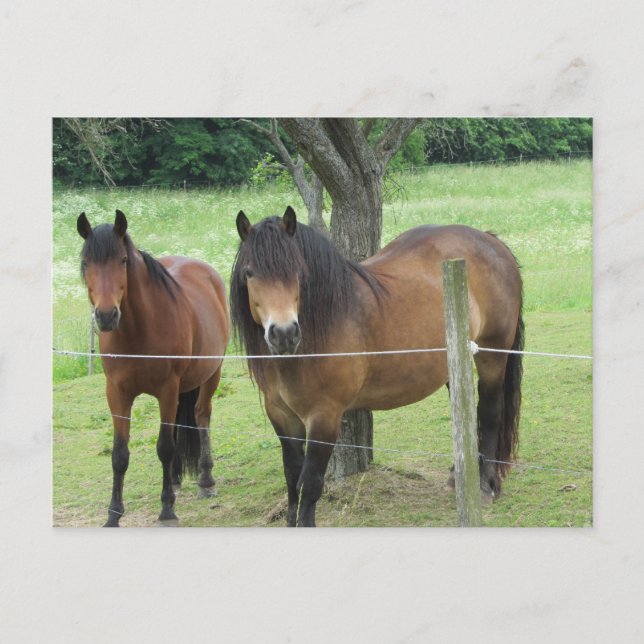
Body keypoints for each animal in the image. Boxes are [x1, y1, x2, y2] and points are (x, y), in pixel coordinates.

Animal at [76, 210, 229, 527]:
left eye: (123, 260)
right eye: (86, 263)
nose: (106, 316)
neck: (138, 330)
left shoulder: (167, 389)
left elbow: (164, 448)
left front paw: (167, 511)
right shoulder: (117, 394)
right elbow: (119, 454)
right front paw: (113, 515)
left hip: (211, 374)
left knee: (201, 416)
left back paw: (205, 480)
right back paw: (175, 480)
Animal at [230, 206, 524, 527]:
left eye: (297, 271)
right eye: (249, 273)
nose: (284, 333)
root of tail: (490, 240)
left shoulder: (324, 417)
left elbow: (309, 482)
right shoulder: (281, 416)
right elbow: (292, 478)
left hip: (493, 353)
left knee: (489, 412)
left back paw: (485, 484)